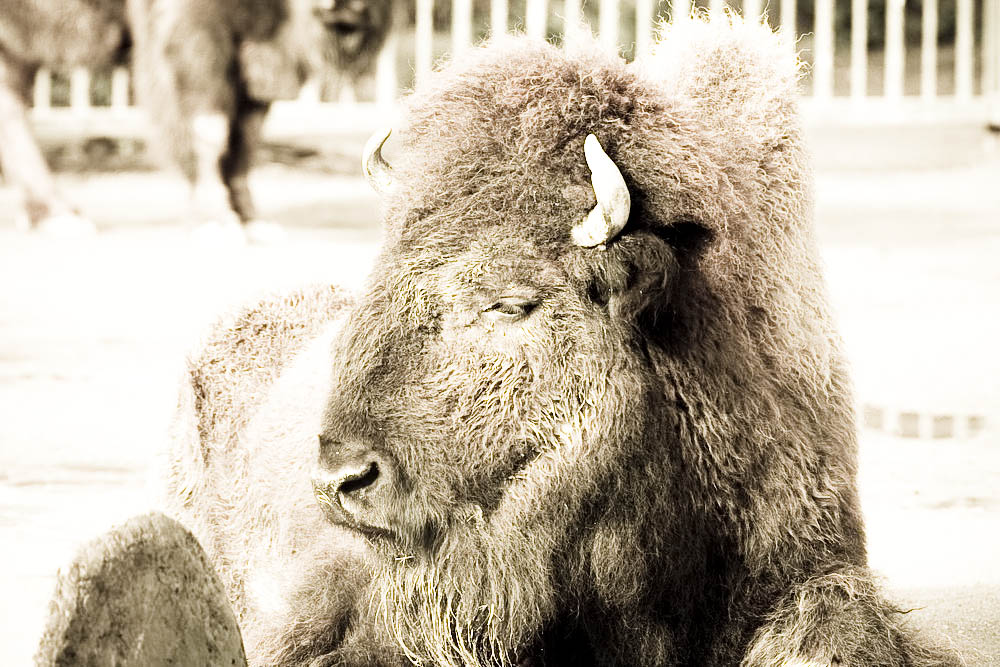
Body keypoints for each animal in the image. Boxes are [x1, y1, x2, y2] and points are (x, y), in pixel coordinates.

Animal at [0, 0, 391, 240]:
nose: (346, 6)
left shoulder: (250, 67)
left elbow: (245, 141)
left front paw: (252, 221)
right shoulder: (197, 39)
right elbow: (210, 128)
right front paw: (217, 220)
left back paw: (52, 215)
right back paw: (59, 216)